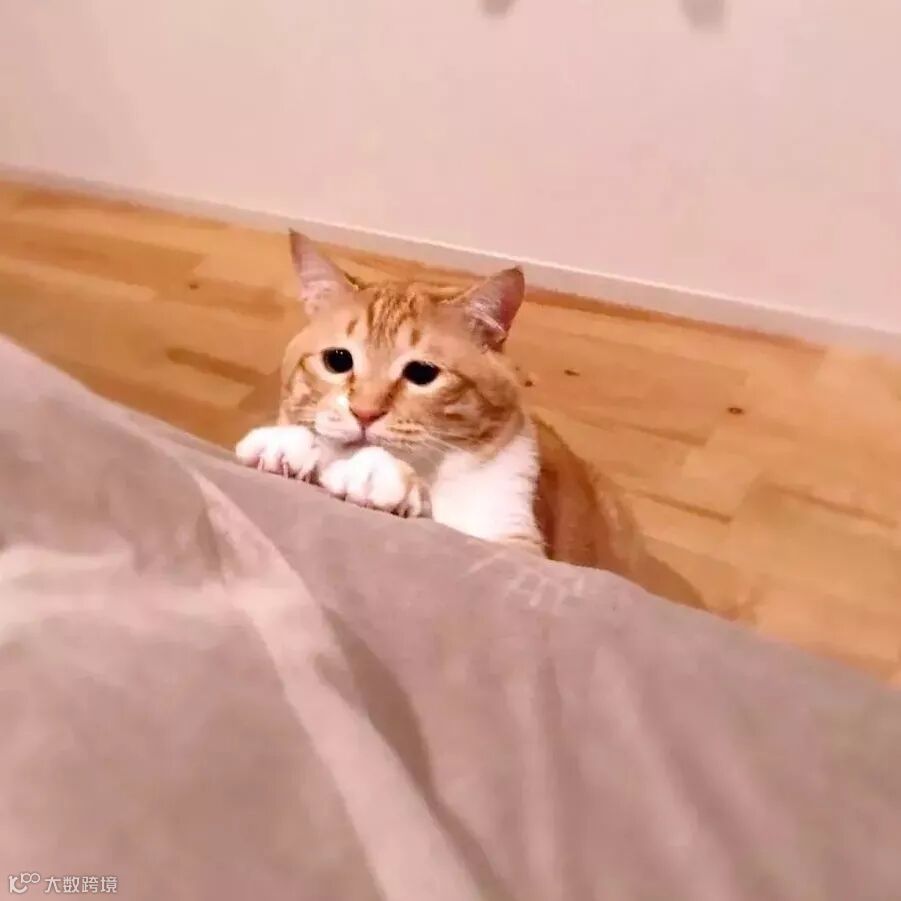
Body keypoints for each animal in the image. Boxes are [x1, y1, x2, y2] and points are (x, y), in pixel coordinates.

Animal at [236, 232, 545, 555]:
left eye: (422, 373)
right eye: (338, 360)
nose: (364, 412)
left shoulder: (513, 545)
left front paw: (379, 472)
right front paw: (286, 444)